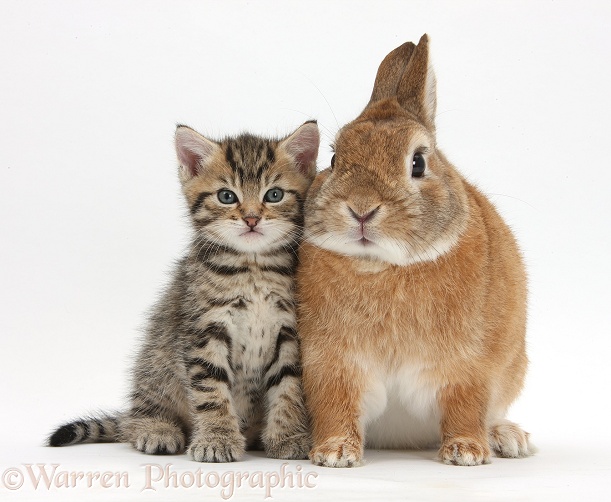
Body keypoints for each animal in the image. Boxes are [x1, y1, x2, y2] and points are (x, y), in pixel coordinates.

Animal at [49, 121, 320, 462]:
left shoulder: (289, 330)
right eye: (226, 196)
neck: (252, 268)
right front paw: (217, 439)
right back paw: (156, 429)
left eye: (274, 194)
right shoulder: (203, 329)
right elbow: (211, 389)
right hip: (156, 361)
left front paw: (288, 437)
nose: (251, 218)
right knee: (136, 416)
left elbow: (289, 386)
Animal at [298, 35, 536, 466]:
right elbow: (336, 407)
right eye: (335, 158)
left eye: (419, 163)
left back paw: (508, 438)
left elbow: (465, 408)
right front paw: (334, 453)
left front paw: (466, 452)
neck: (385, 266)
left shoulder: (467, 367)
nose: (361, 208)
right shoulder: (332, 366)